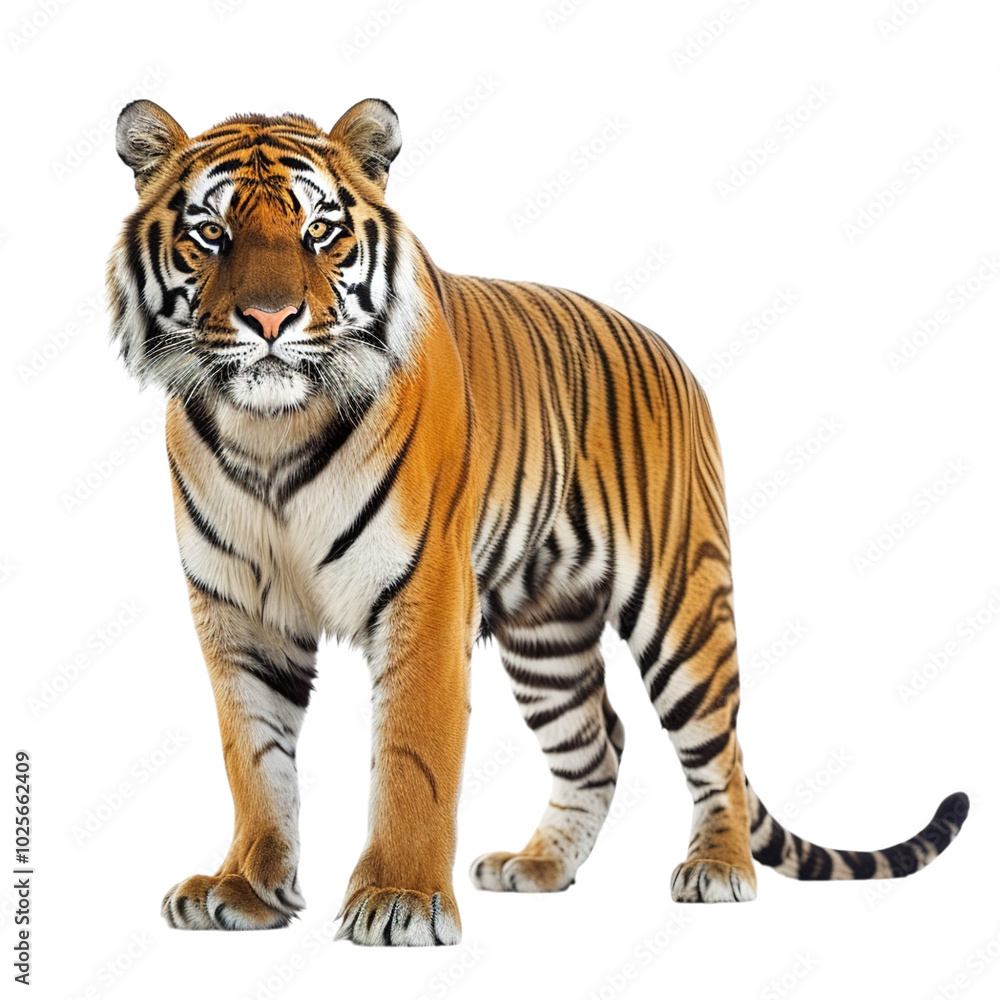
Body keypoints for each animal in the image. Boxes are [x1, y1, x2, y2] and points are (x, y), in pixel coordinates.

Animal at [107, 97, 969, 946]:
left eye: (320, 230)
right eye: (211, 234)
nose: (270, 318)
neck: (270, 433)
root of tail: (672, 352)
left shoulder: (424, 594)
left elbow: (413, 758)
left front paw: (399, 900)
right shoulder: (237, 611)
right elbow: (253, 759)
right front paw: (244, 888)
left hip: (684, 605)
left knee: (719, 747)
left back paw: (718, 869)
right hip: (547, 633)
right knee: (599, 742)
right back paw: (541, 864)